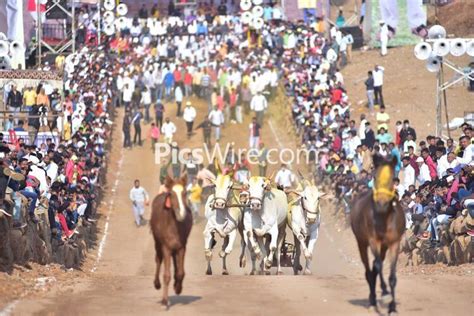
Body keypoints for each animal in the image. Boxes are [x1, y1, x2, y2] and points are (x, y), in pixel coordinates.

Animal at [150, 175, 191, 306]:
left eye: (185, 192)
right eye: (171, 194)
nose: (181, 213)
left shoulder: (182, 246)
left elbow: (181, 272)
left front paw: (178, 288)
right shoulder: (166, 247)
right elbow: (166, 275)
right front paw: (164, 300)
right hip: (157, 242)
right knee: (158, 259)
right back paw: (157, 283)